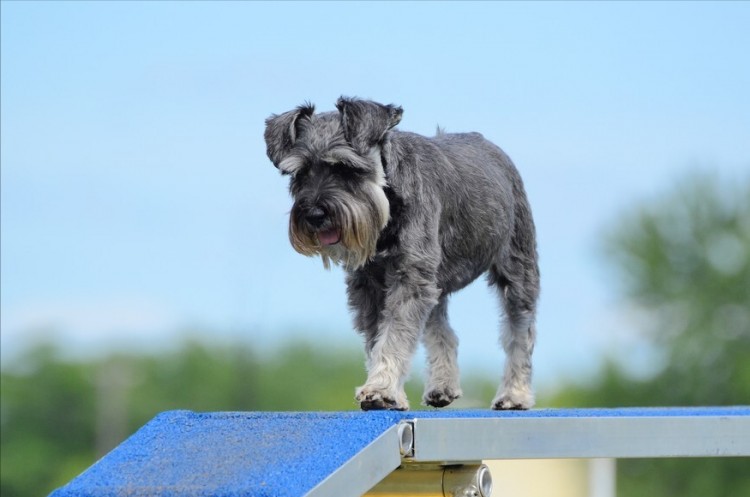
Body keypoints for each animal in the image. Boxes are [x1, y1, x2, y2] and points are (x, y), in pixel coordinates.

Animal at [264, 97, 540, 410]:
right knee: (442, 329)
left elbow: (394, 335)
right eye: (300, 173)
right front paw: (387, 389)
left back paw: (514, 395)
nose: (314, 215)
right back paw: (442, 386)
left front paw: (381, 389)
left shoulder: (410, 278)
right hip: (436, 280)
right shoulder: (370, 286)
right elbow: (378, 339)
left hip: (517, 272)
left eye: (346, 168)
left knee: (520, 333)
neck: (388, 204)